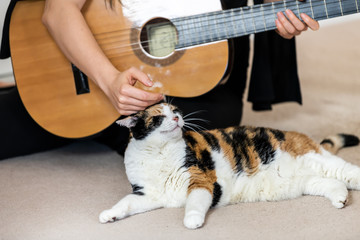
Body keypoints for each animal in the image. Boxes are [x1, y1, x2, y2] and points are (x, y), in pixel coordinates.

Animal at [100, 102, 360, 229]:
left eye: (175, 110)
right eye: (158, 117)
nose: (176, 118)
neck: (159, 154)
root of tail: (301, 136)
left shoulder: (200, 180)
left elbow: (194, 204)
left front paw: (192, 220)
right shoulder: (146, 194)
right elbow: (125, 203)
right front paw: (109, 214)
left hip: (319, 160)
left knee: (349, 172)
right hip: (307, 181)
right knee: (334, 183)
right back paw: (340, 199)